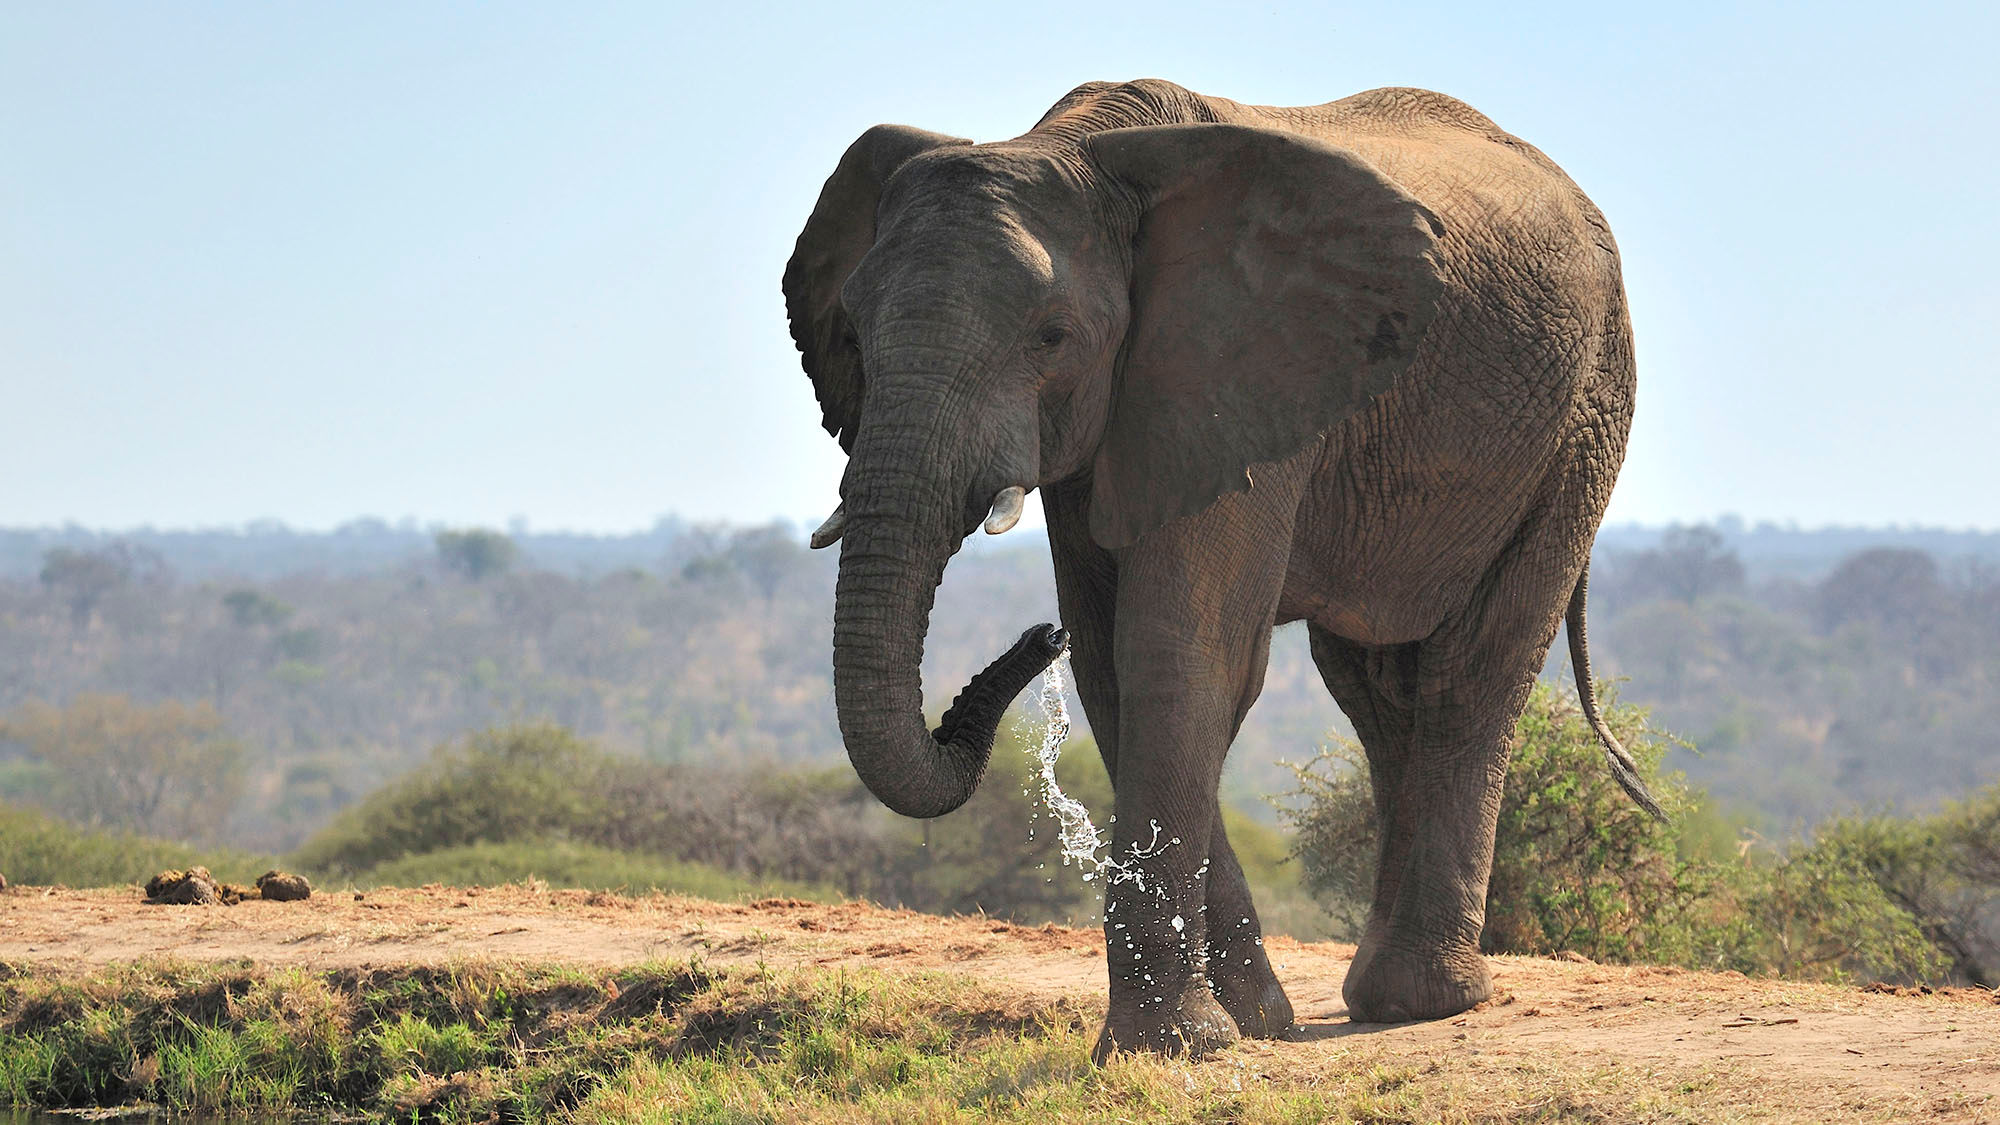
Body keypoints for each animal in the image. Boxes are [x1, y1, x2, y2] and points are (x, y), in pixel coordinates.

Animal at [783, 78, 1658, 1058]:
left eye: (1052, 336)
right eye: (853, 333)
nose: (1036, 637)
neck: (1080, 150)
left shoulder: (1238, 376)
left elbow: (1178, 649)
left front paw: (1171, 1045)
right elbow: (1111, 666)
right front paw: (1249, 1025)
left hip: (1585, 416)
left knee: (1472, 672)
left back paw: (1427, 1000)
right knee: (1378, 688)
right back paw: (1384, 997)